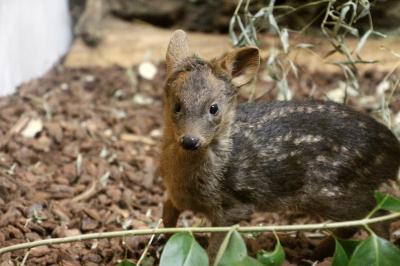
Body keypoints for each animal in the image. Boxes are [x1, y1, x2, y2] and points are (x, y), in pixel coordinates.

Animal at [159, 30, 400, 260]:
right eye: (177, 106)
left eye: (214, 108)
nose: (190, 140)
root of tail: (392, 149)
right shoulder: (176, 197)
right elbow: (167, 215)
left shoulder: (233, 206)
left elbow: (216, 248)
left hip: (337, 190)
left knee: (377, 217)